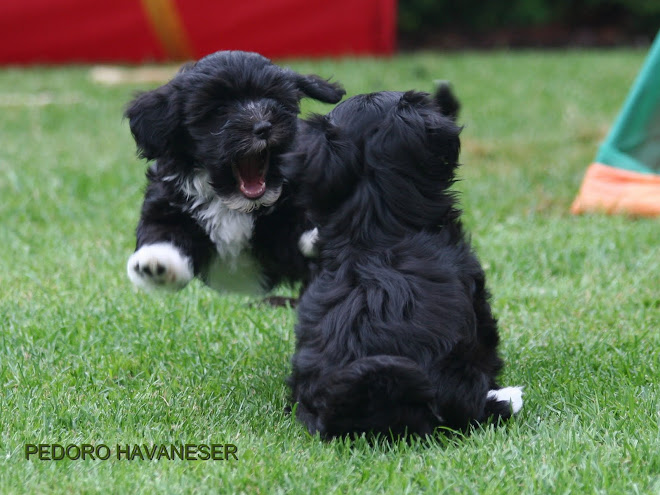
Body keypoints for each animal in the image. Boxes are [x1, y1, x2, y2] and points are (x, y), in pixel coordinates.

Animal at [122, 50, 346, 298]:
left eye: (274, 100)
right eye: (219, 111)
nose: (263, 126)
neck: (233, 203)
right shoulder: (168, 202)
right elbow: (161, 232)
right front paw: (156, 263)